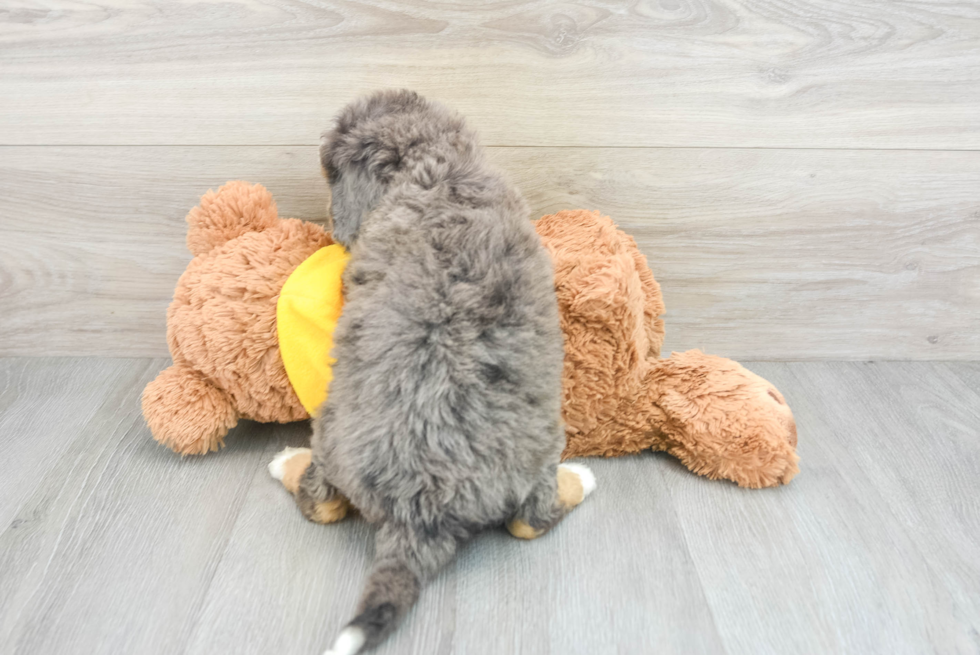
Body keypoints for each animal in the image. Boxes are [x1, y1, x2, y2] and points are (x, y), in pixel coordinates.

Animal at [268, 92, 592, 655]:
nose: (331, 223)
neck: (439, 166)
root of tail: (420, 510)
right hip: (537, 447)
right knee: (529, 521)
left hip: (331, 432)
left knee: (321, 503)